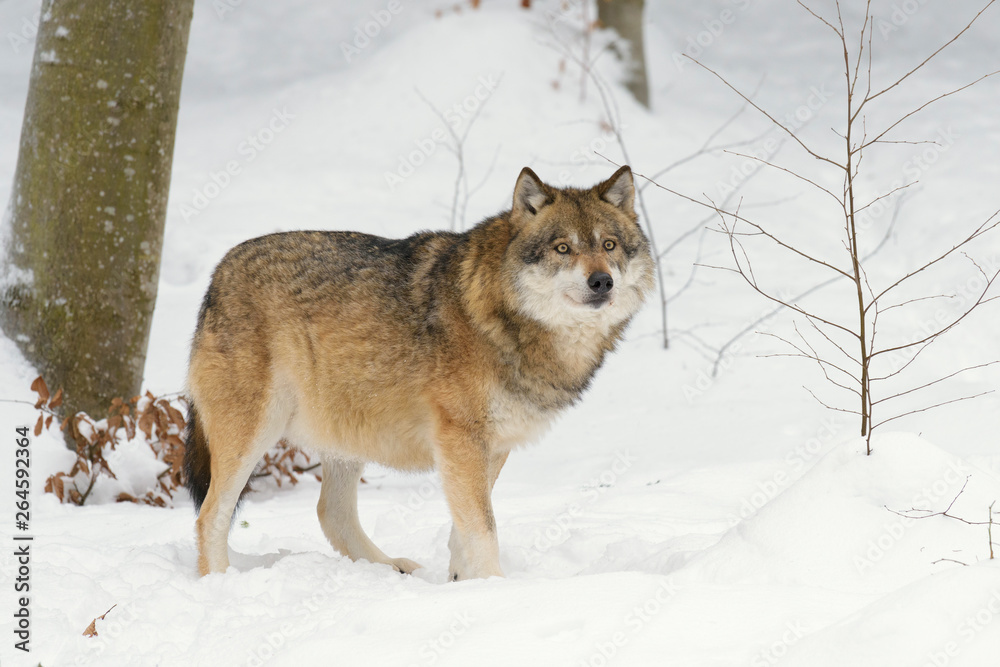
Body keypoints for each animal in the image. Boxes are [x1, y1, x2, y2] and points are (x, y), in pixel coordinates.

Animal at [183, 165, 654, 579]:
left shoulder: (491, 447)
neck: (502, 316)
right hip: (254, 433)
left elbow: (464, 529)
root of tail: (218, 273)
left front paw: (463, 581)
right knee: (210, 515)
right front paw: (496, 589)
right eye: (562, 248)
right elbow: (483, 528)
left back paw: (391, 568)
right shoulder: (460, 440)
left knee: (330, 513)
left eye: (609, 245)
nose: (601, 282)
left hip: (345, 435)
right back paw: (221, 582)